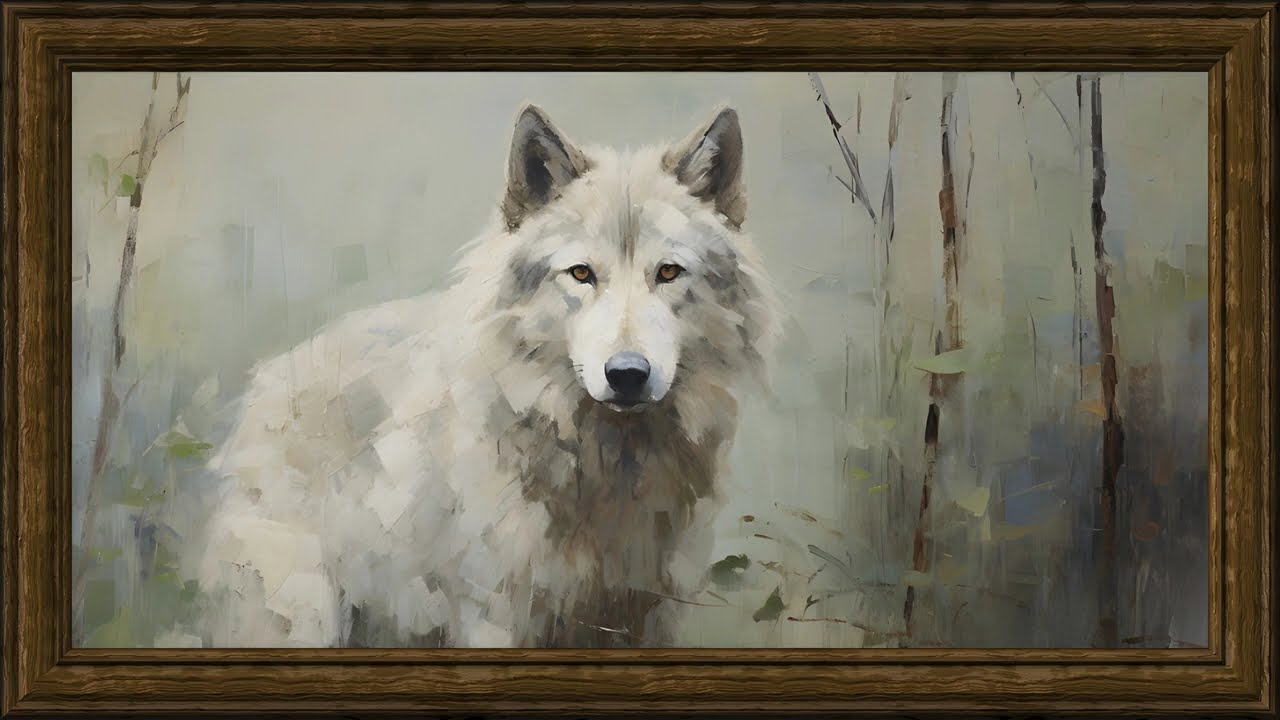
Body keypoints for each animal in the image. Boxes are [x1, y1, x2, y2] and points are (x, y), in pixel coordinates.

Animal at [190, 104, 781, 648]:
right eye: (581, 273)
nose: (627, 374)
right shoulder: (494, 618)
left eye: (669, 272)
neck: (606, 467)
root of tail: (265, 381)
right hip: (301, 622)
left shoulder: (649, 620)